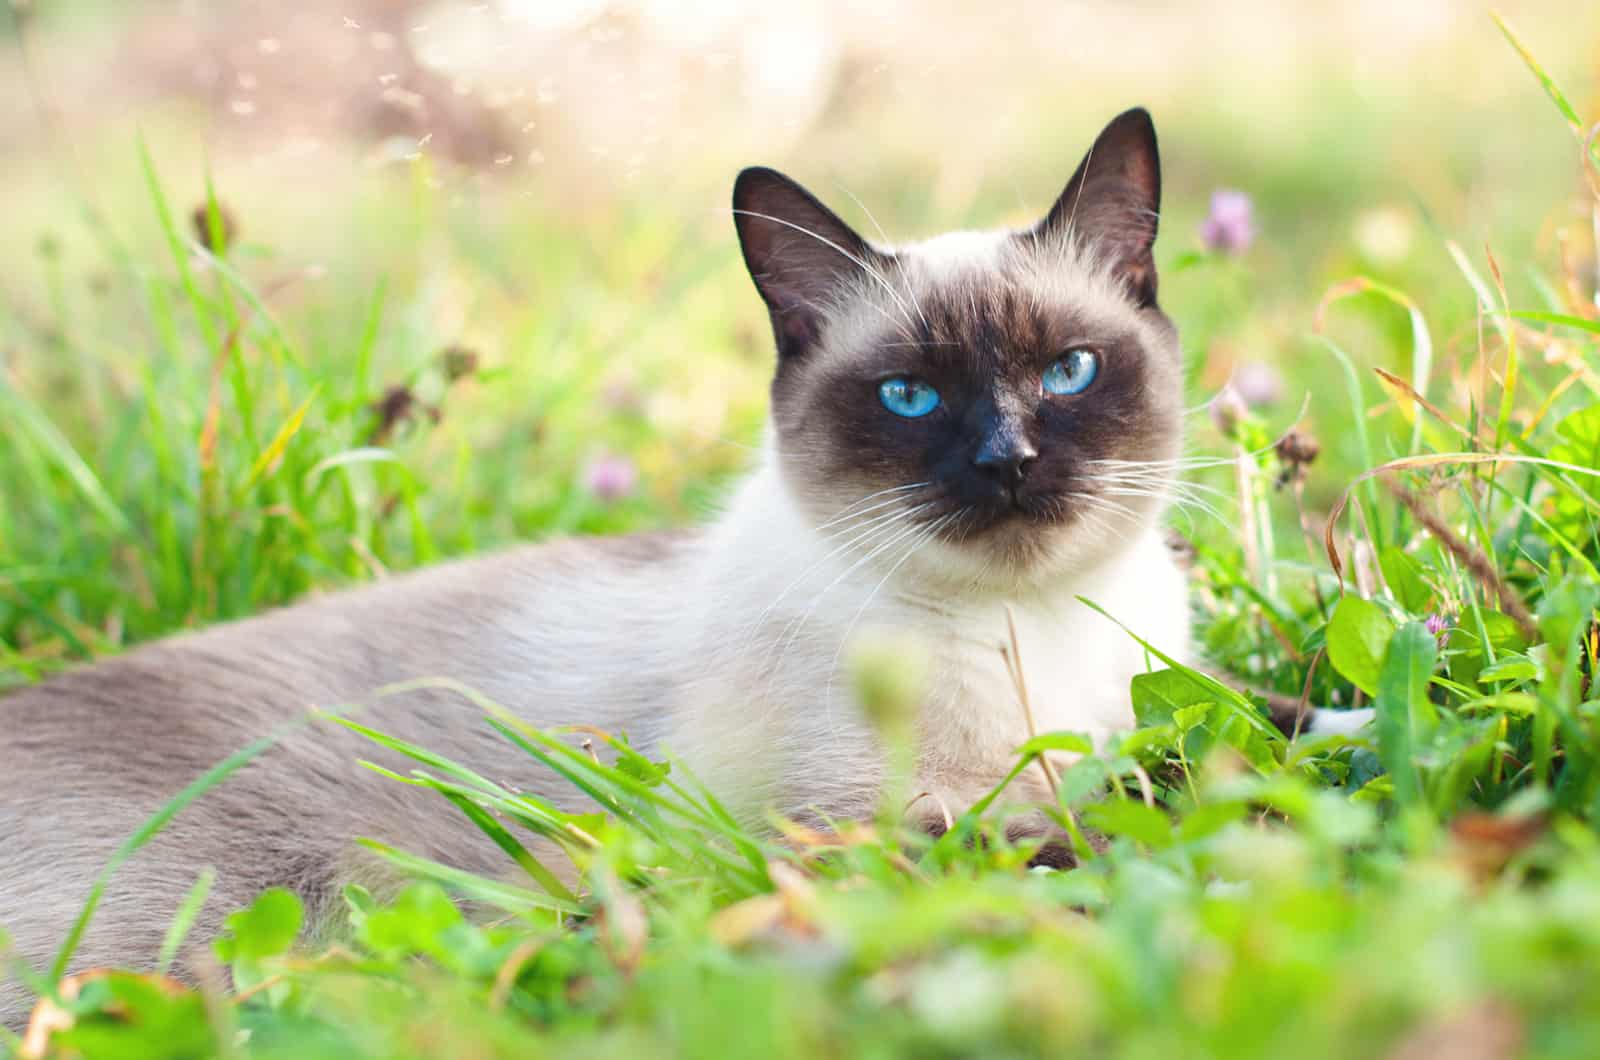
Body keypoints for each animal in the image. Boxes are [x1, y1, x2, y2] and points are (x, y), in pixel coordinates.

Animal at [0, 109, 1350, 1031]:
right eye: (909, 396)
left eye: (1068, 372)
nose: (1007, 460)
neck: (1029, 627)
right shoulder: (856, 826)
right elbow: (1105, 815)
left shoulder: (1161, 700)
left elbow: (1260, 725)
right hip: (221, 935)